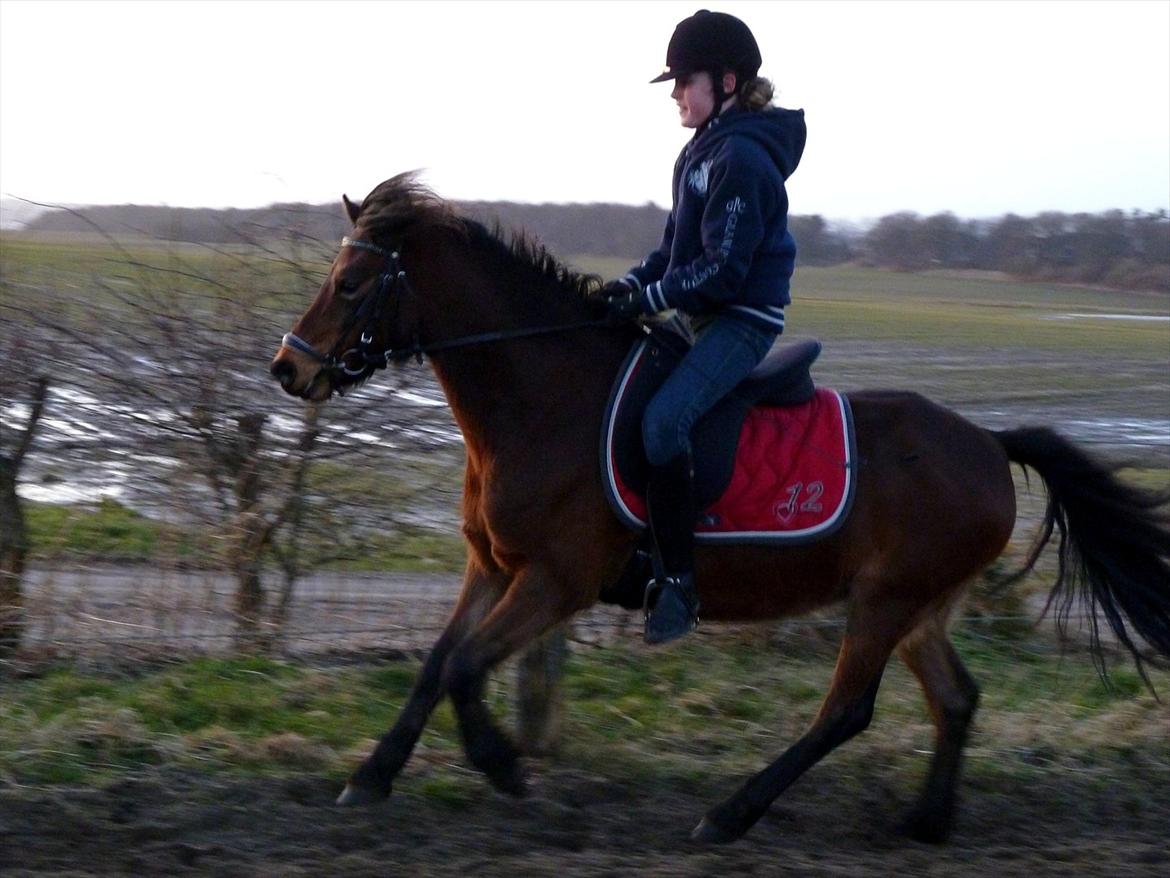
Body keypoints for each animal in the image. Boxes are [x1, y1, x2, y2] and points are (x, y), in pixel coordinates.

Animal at [270, 173, 1170, 845]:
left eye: (350, 283)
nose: (288, 368)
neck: (544, 398)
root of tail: (987, 440)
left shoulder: (557, 582)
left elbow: (463, 667)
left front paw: (503, 766)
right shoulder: (490, 565)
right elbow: (435, 662)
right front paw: (371, 776)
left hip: (885, 601)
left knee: (846, 710)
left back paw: (732, 813)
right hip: (918, 605)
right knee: (955, 699)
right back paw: (926, 821)